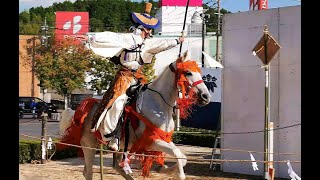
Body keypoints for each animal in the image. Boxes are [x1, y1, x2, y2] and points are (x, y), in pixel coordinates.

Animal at [58, 50, 211, 180]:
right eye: (188, 72)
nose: (206, 96)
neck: (158, 104)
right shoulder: (152, 141)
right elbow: (178, 155)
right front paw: (174, 173)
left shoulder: (164, 139)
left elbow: (182, 157)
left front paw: (166, 169)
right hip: (89, 145)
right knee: (88, 172)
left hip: (119, 146)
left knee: (117, 166)